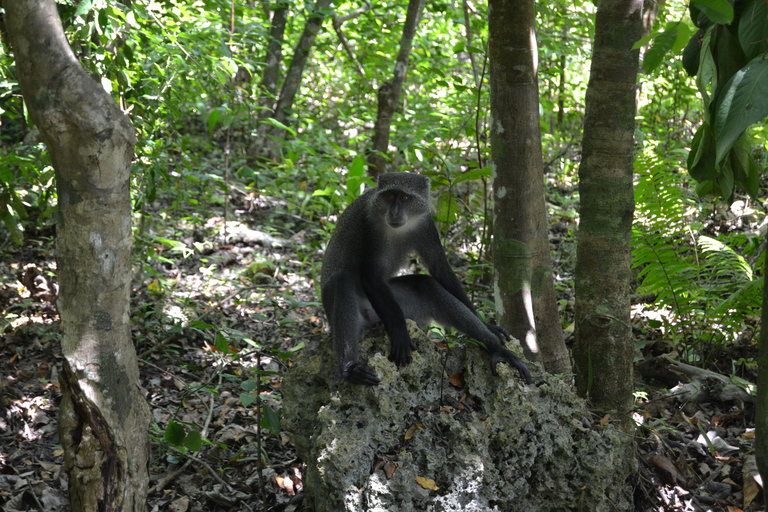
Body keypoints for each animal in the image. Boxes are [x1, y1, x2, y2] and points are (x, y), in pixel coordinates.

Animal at [318, 170, 528, 386]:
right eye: (389, 196)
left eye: (404, 198)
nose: (394, 212)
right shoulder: (371, 226)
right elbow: (371, 277)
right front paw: (400, 333)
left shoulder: (425, 224)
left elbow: (440, 268)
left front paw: (487, 326)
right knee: (341, 280)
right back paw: (350, 368)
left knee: (426, 284)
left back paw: (497, 350)